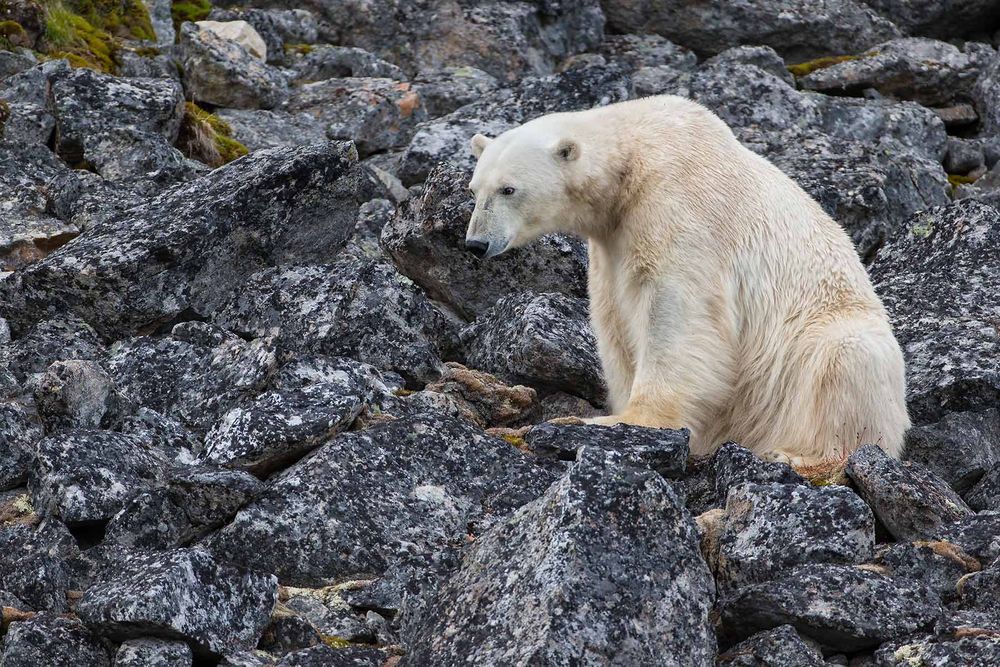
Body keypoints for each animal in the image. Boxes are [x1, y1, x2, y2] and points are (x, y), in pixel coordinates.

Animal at [464, 95, 910, 466]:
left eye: (508, 189)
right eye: (474, 189)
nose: (475, 243)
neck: (634, 158)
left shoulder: (678, 208)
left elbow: (674, 311)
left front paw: (626, 421)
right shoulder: (611, 241)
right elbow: (612, 318)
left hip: (820, 344)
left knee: (848, 360)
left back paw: (801, 455)